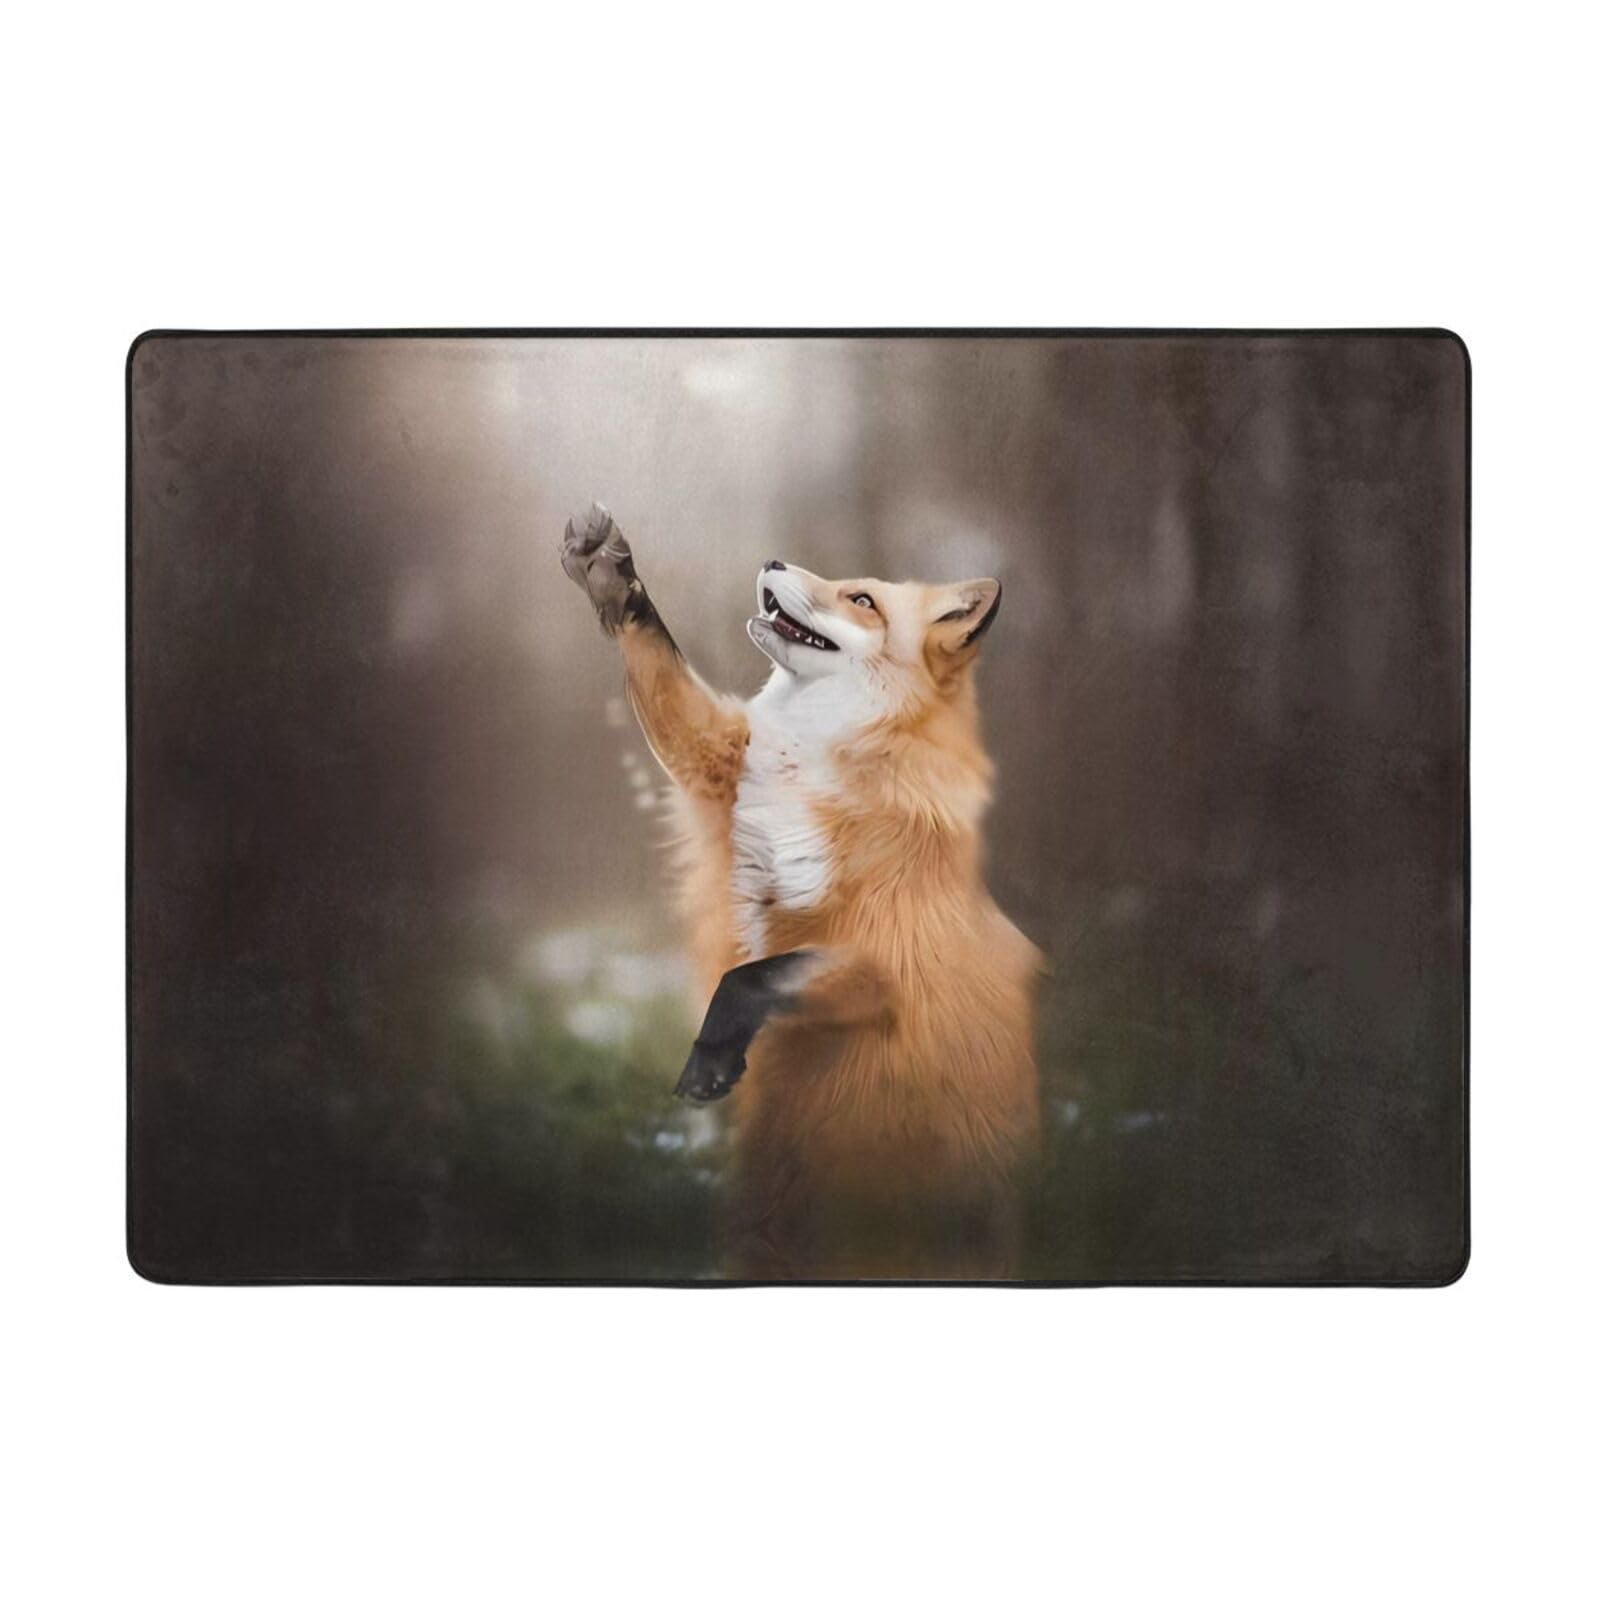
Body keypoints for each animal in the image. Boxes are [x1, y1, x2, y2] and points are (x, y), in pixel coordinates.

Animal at [561, 502, 1041, 1280]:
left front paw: (709, 1062)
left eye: (863, 600)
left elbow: (749, 978)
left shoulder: (884, 961)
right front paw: (612, 581)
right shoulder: (719, 776)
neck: (814, 767)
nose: (774, 561)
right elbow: (665, 674)